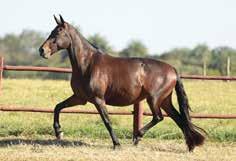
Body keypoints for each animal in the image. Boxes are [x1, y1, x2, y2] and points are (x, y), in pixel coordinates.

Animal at [38, 14, 205, 151]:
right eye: (52, 31)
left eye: (58, 32)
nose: (42, 50)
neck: (87, 64)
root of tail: (173, 70)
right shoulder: (80, 98)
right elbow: (58, 107)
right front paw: (59, 132)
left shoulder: (98, 100)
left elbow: (107, 121)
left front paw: (117, 144)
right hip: (164, 101)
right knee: (179, 119)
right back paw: (191, 146)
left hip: (154, 99)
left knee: (159, 117)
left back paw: (137, 137)